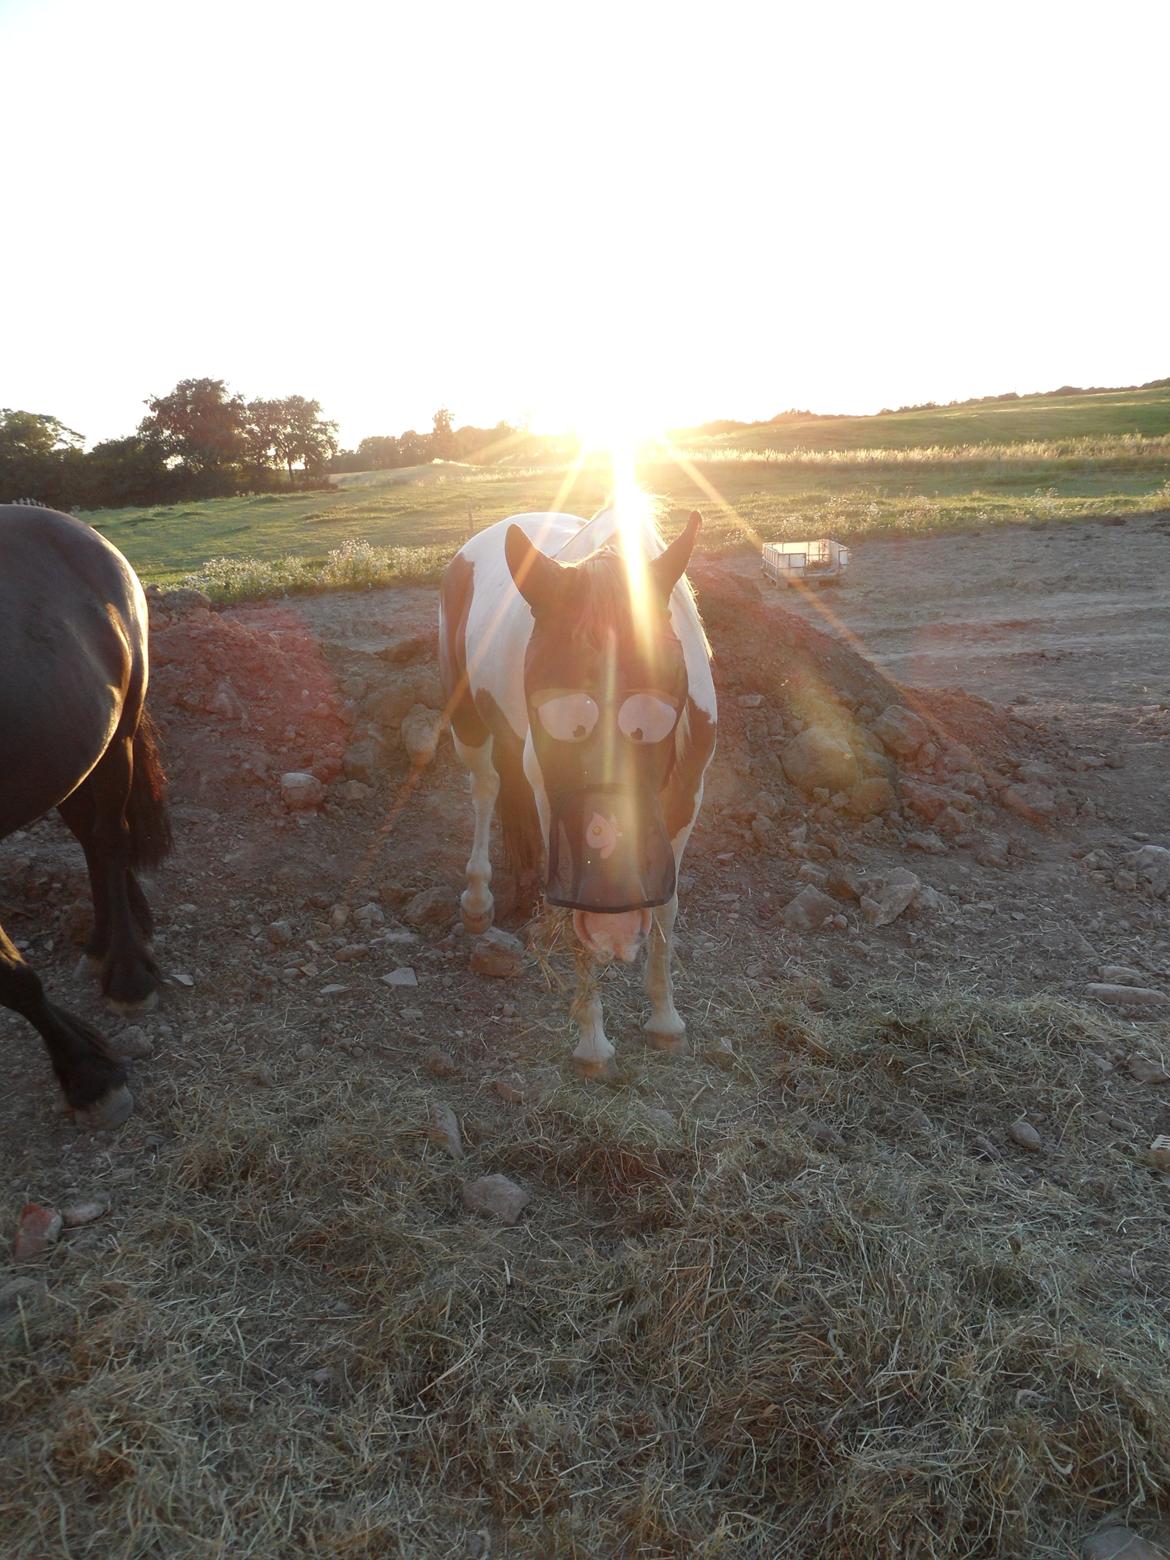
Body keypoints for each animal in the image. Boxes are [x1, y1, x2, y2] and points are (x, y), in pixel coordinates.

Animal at [0, 505, 171, 1129]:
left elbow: (10, 976)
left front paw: (86, 1075)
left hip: (118, 735)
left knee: (110, 837)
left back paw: (127, 972)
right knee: (92, 839)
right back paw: (107, 939)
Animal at [439, 511, 714, 1073]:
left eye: (660, 701)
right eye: (558, 714)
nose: (615, 932)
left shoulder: (686, 797)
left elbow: (667, 907)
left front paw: (665, 1019)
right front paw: (592, 1043)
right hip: (468, 724)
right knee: (486, 789)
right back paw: (478, 900)